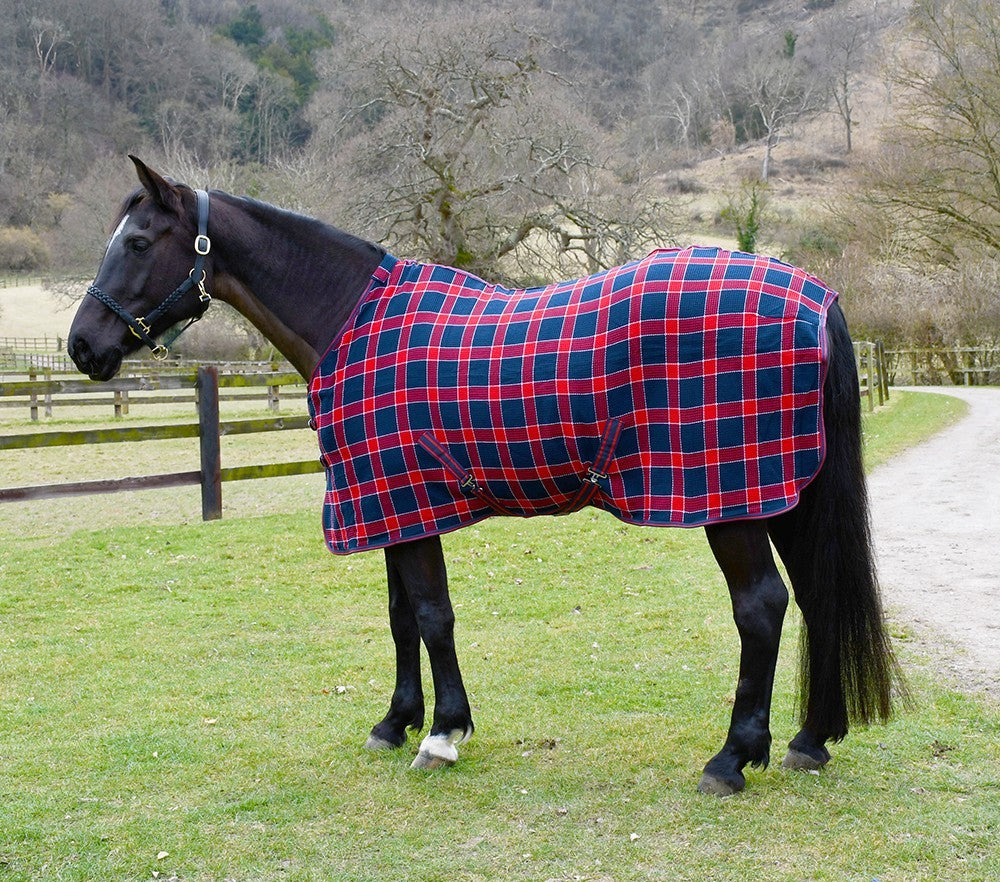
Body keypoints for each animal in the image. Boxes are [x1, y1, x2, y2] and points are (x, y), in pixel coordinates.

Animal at [67, 157, 899, 796]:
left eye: (137, 241)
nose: (81, 346)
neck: (348, 321)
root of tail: (813, 296)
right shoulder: (392, 506)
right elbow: (402, 617)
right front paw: (396, 721)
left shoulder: (402, 501)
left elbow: (433, 615)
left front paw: (444, 733)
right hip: (784, 494)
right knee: (818, 600)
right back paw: (809, 742)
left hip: (732, 503)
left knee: (762, 608)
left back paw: (732, 758)